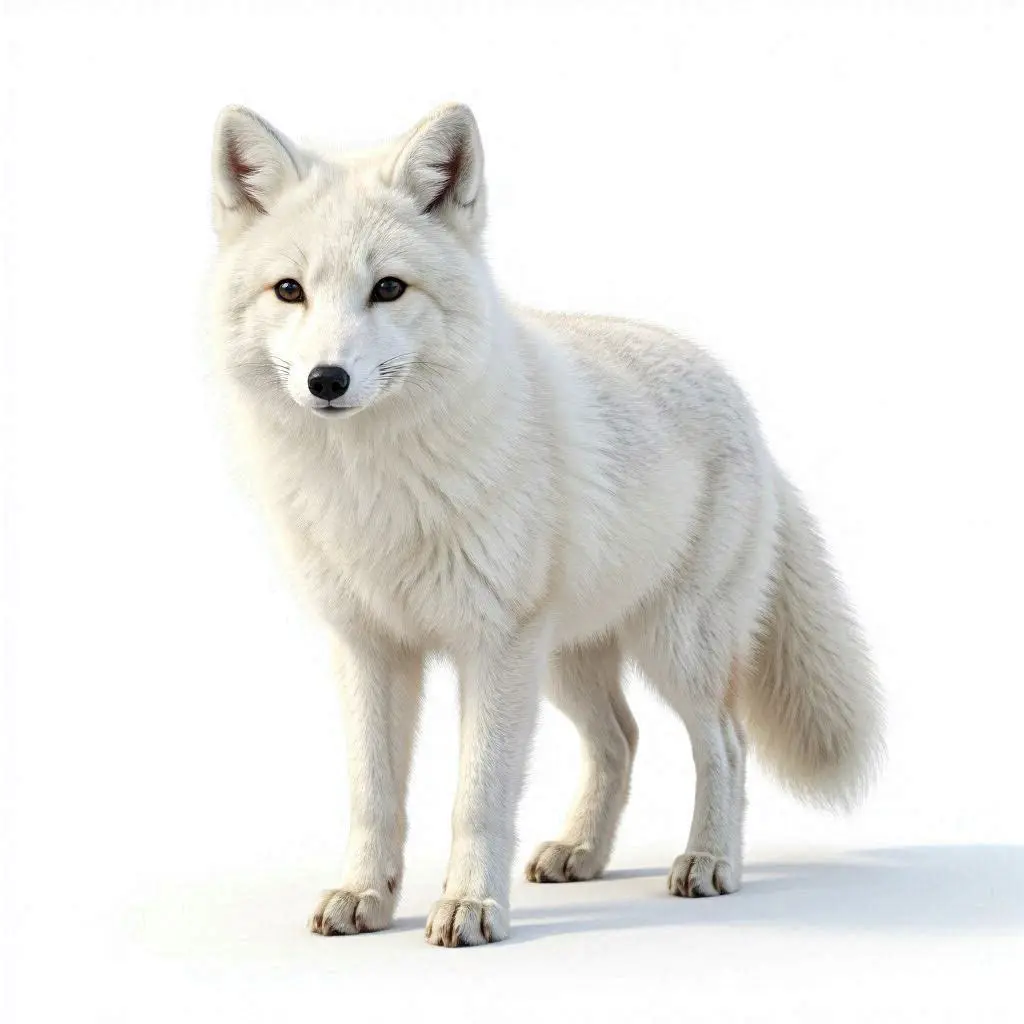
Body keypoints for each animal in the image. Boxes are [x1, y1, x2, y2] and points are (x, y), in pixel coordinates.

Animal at [207, 102, 883, 947]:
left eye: (388, 288)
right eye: (289, 290)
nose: (326, 380)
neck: (374, 487)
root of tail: (746, 410)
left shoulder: (493, 646)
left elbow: (478, 797)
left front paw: (470, 907)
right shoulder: (368, 645)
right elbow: (373, 797)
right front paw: (365, 894)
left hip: (672, 649)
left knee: (725, 744)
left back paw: (708, 862)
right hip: (566, 662)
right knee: (621, 740)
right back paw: (582, 853)